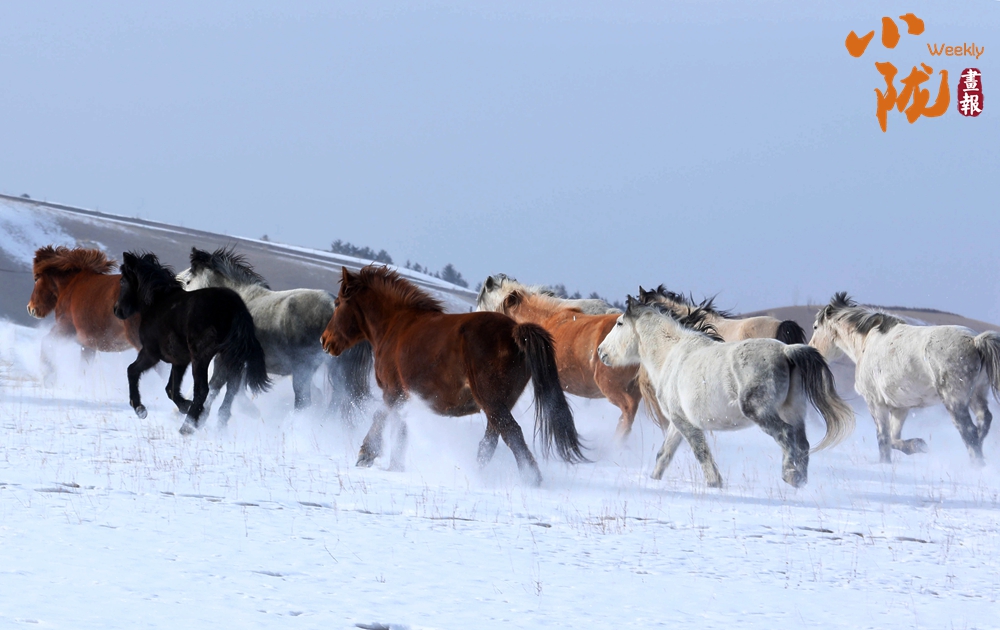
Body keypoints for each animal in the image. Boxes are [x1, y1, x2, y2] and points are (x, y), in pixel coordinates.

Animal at [113, 251, 271, 434]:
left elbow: (132, 371)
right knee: (231, 387)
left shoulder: (150, 353)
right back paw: (218, 423)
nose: (116, 310)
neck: (158, 302)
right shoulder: (179, 360)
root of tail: (235, 308)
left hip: (202, 357)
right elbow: (171, 389)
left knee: (204, 389)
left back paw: (188, 426)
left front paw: (140, 408)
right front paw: (185, 406)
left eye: (122, 281)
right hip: (229, 356)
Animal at [176, 247, 372, 424]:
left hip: (303, 369)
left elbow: (215, 387)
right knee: (335, 401)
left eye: (188, 281)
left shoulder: (225, 359)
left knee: (304, 403)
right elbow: (229, 391)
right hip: (335, 371)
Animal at [321, 265, 586, 485]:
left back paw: (530, 479)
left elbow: (380, 417)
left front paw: (366, 454)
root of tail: (514, 330)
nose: (325, 340)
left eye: (338, 303)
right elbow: (400, 428)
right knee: (491, 441)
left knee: (513, 435)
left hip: (491, 402)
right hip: (498, 405)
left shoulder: (393, 392)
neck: (395, 326)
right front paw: (395, 465)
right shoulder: (405, 397)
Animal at [598, 297, 854, 487]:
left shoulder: (686, 424)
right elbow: (664, 453)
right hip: (793, 412)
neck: (671, 354)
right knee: (802, 443)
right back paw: (799, 480)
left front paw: (715, 483)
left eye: (619, 323)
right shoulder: (678, 421)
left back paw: (790, 476)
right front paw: (654, 479)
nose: (601, 351)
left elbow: (701, 452)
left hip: (761, 413)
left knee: (788, 438)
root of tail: (786, 351)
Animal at [810, 292, 1000, 464]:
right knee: (984, 421)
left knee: (969, 431)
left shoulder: (876, 403)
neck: (868, 343)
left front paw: (885, 463)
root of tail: (974, 340)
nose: (812, 349)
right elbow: (893, 439)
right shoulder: (900, 407)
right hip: (977, 394)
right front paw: (917, 445)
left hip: (954, 400)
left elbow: (883, 439)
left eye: (815, 327)